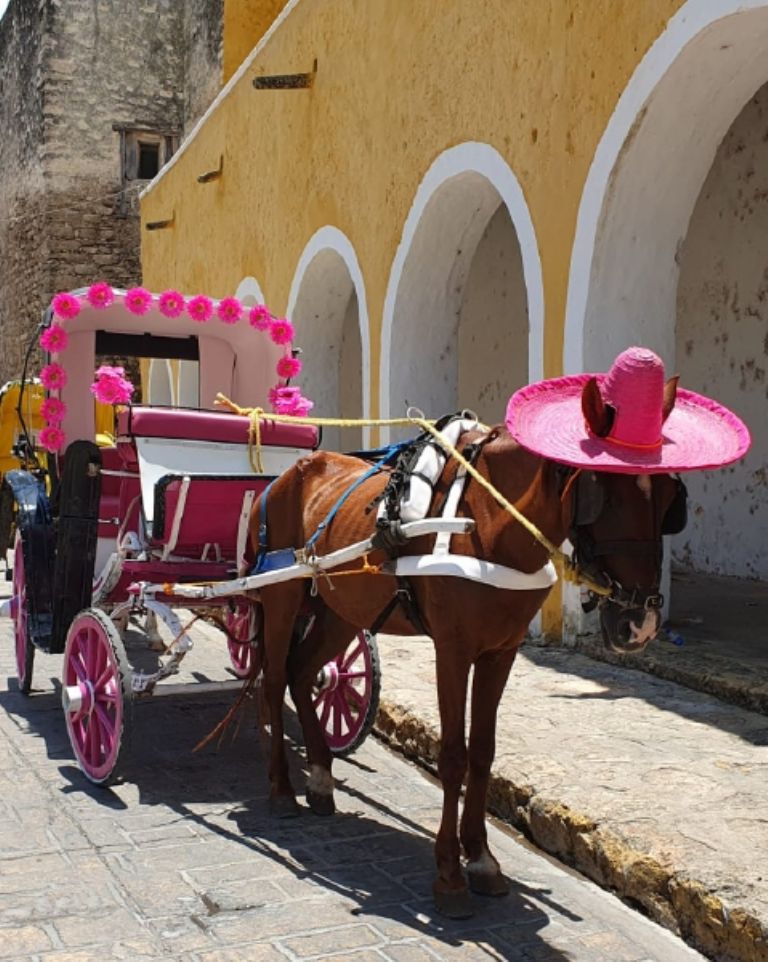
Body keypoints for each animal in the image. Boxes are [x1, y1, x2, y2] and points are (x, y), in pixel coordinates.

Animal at [248, 375, 684, 919]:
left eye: (669, 495)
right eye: (601, 490)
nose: (639, 621)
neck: (490, 525)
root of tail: (288, 474)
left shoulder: (501, 652)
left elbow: (483, 752)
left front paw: (481, 860)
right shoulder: (452, 652)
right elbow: (453, 754)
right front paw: (450, 875)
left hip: (339, 610)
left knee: (304, 672)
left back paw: (322, 779)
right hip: (282, 597)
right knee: (274, 680)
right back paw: (282, 789)